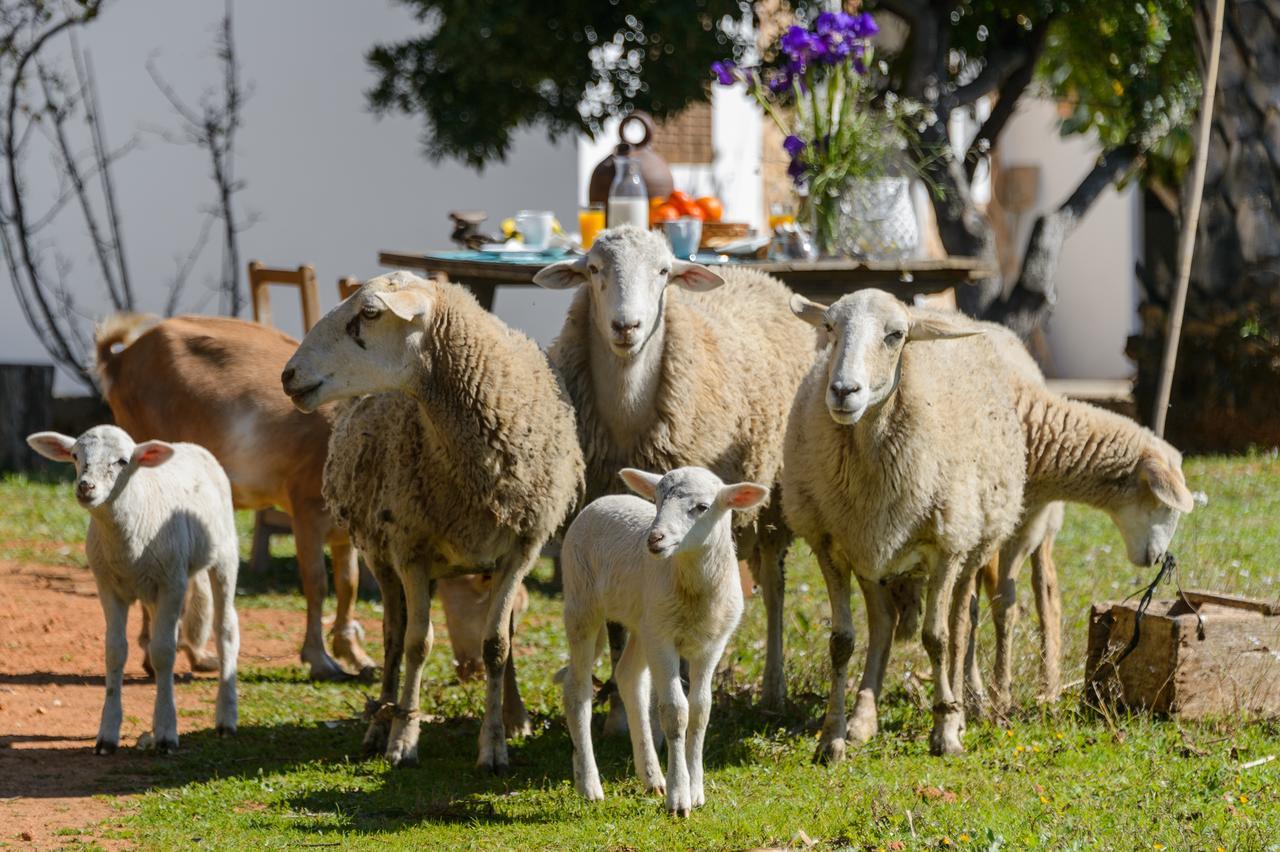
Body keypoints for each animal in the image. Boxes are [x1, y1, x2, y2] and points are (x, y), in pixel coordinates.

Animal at [24, 424, 240, 752]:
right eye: (75, 455)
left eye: (123, 461)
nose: (85, 487)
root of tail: (189, 445)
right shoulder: (107, 586)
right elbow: (115, 651)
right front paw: (107, 734)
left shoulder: (173, 583)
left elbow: (164, 652)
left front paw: (167, 732)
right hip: (150, 587)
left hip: (225, 552)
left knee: (225, 628)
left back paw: (226, 719)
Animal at [281, 272, 586, 767]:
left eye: (369, 313)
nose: (288, 375)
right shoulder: (411, 551)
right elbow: (416, 644)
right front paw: (404, 738)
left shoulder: (522, 549)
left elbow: (497, 644)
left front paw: (494, 743)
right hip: (380, 555)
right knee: (393, 634)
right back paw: (381, 722)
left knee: (501, 632)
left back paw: (515, 715)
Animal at [532, 222, 819, 706]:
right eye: (593, 269)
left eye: (664, 272)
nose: (626, 326)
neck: (627, 415)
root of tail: (755, 273)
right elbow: (619, 629)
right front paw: (618, 703)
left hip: (775, 503)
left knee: (775, 588)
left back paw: (772, 687)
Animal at [558, 465, 757, 818]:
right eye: (658, 500)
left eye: (702, 507)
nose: (654, 539)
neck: (693, 590)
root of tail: (604, 499)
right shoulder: (664, 641)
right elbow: (675, 712)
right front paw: (679, 798)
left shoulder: (712, 643)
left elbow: (701, 710)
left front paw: (696, 790)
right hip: (582, 600)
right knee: (576, 688)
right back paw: (589, 785)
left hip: (643, 621)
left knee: (629, 678)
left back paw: (651, 777)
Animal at [778, 286, 1029, 757]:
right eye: (829, 327)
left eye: (895, 335)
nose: (843, 391)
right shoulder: (829, 543)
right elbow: (842, 642)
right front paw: (832, 737)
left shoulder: (947, 546)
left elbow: (937, 638)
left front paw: (945, 731)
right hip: (871, 555)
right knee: (883, 626)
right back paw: (863, 718)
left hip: (974, 543)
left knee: (960, 624)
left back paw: (962, 709)